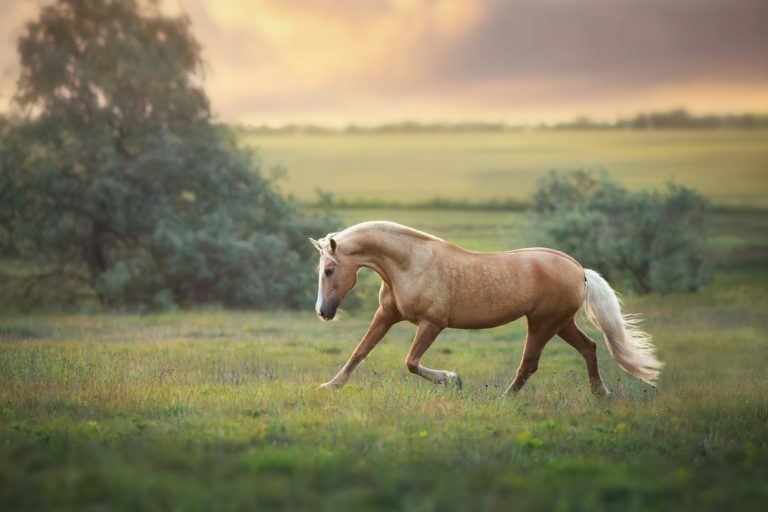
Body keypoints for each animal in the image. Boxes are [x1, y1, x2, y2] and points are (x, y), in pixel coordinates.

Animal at [309, 221, 662, 396]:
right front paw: (329, 386)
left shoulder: (432, 324)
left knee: (529, 364)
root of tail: (577, 268)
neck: (409, 264)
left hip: (543, 324)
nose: (323, 312)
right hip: (561, 323)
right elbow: (359, 351)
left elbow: (411, 362)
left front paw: (453, 380)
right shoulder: (386, 316)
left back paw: (505, 400)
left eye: (330, 270)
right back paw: (600, 394)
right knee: (589, 348)